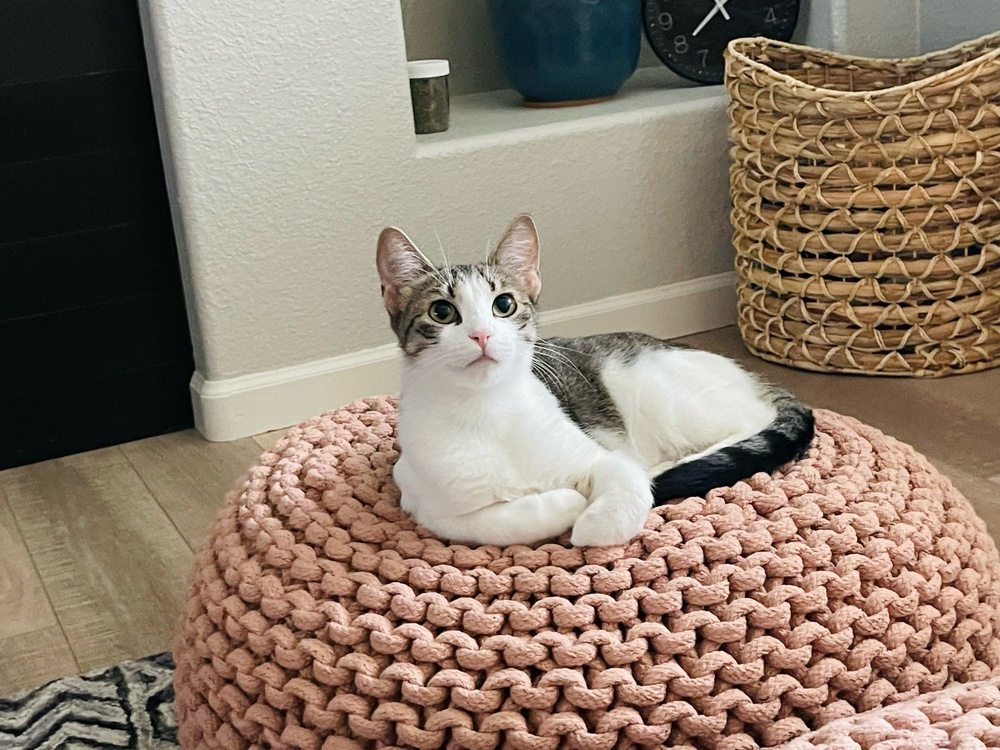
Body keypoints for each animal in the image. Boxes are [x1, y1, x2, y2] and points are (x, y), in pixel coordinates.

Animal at [376, 214, 812, 548]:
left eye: (504, 304)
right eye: (442, 312)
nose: (481, 334)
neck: (486, 411)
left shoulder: (600, 455)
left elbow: (625, 486)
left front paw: (590, 525)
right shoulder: (424, 503)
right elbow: (491, 524)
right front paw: (564, 503)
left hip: (663, 397)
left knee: (751, 418)